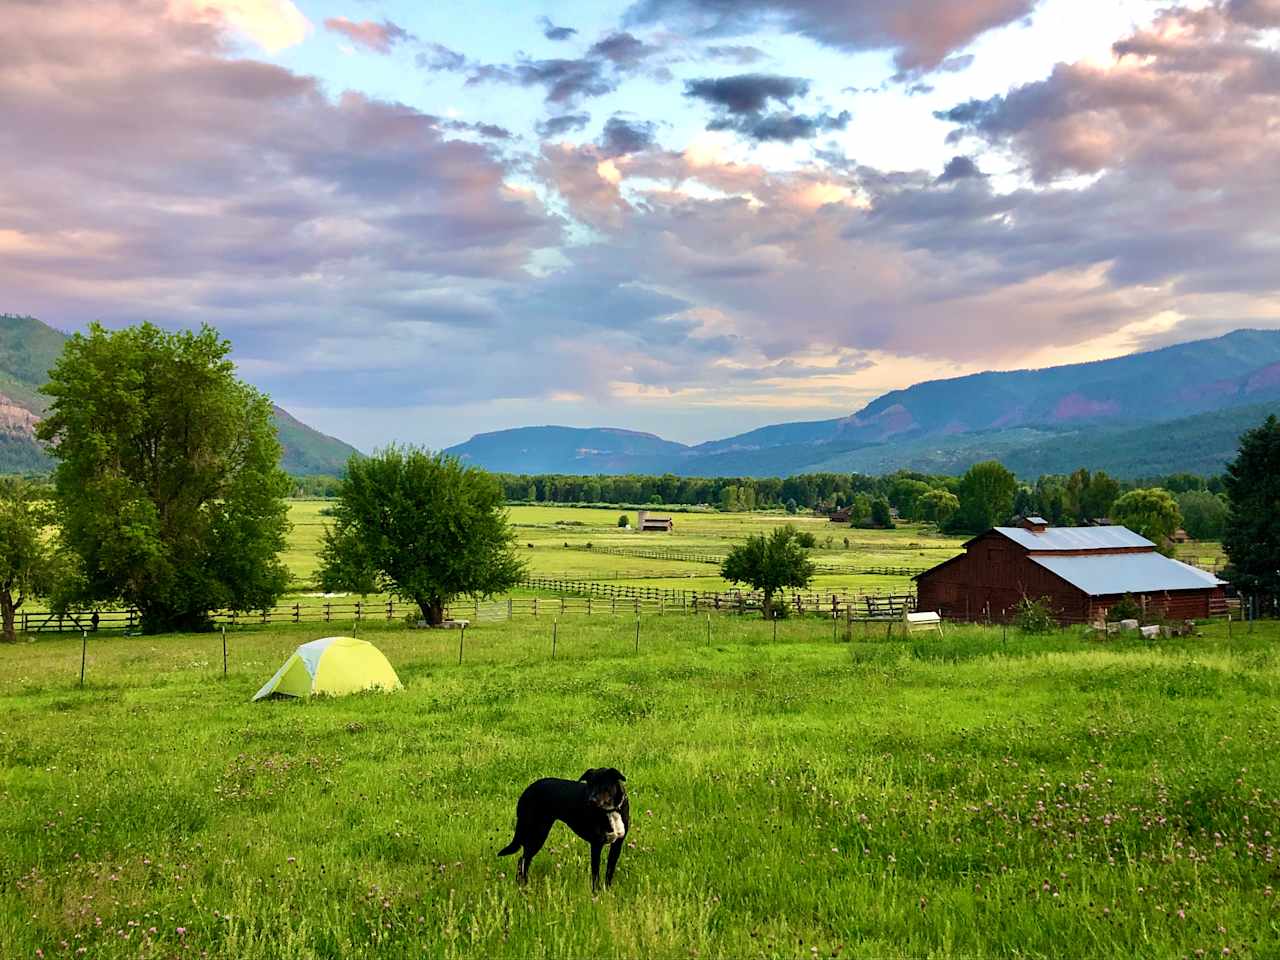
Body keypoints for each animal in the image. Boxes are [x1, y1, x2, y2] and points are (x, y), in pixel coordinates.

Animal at [494, 773, 629, 890]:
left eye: (603, 785)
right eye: (590, 785)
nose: (591, 800)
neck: (611, 811)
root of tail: (527, 790)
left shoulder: (617, 845)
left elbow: (609, 871)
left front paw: (607, 891)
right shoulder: (596, 845)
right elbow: (595, 874)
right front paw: (596, 893)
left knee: (523, 860)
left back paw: (522, 885)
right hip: (537, 832)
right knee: (523, 860)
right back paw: (524, 886)